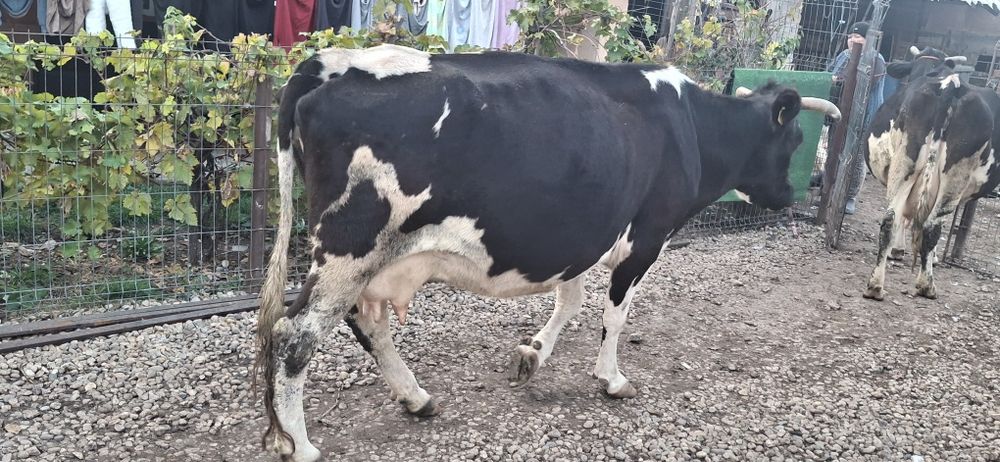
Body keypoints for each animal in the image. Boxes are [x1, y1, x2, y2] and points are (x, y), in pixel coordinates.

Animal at [252, 43, 841, 462]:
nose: (793, 192)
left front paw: (532, 353)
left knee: (365, 324)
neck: (690, 127)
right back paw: (299, 445)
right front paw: (611, 378)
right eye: (794, 141)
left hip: (367, 259)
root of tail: (330, 62)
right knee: (294, 335)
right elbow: (614, 315)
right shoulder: (646, 237)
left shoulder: (580, 233)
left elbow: (570, 300)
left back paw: (415, 397)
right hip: (349, 246)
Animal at [862, 45, 1000, 301]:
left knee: (891, 219)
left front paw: (900, 250)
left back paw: (875, 285)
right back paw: (926, 284)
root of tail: (950, 85)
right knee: (931, 225)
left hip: (905, 166)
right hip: (952, 177)